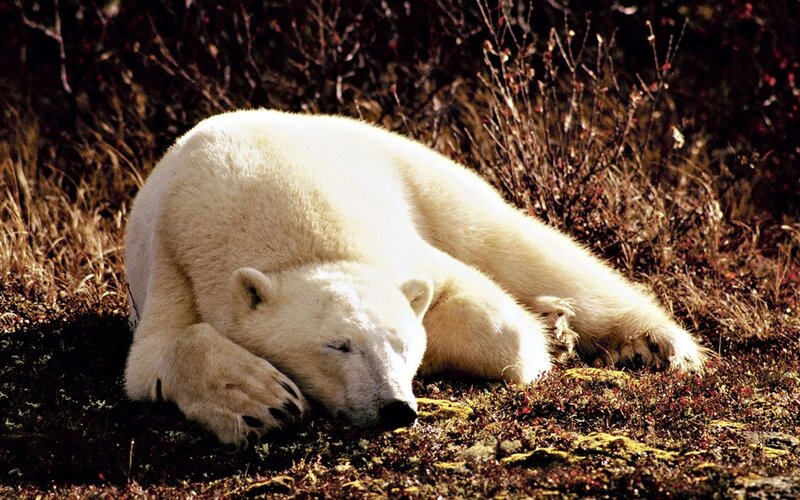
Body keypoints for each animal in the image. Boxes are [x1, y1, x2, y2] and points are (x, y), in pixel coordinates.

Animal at [124, 109, 707, 445]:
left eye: (402, 343)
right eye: (338, 345)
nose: (395, 409)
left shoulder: (391, 239)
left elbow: (491, 319)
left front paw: (546, 337)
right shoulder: (177, 260)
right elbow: (157, 354)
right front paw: (261, 398)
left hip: (418, 172)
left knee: (516, 244)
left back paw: (654, 343)